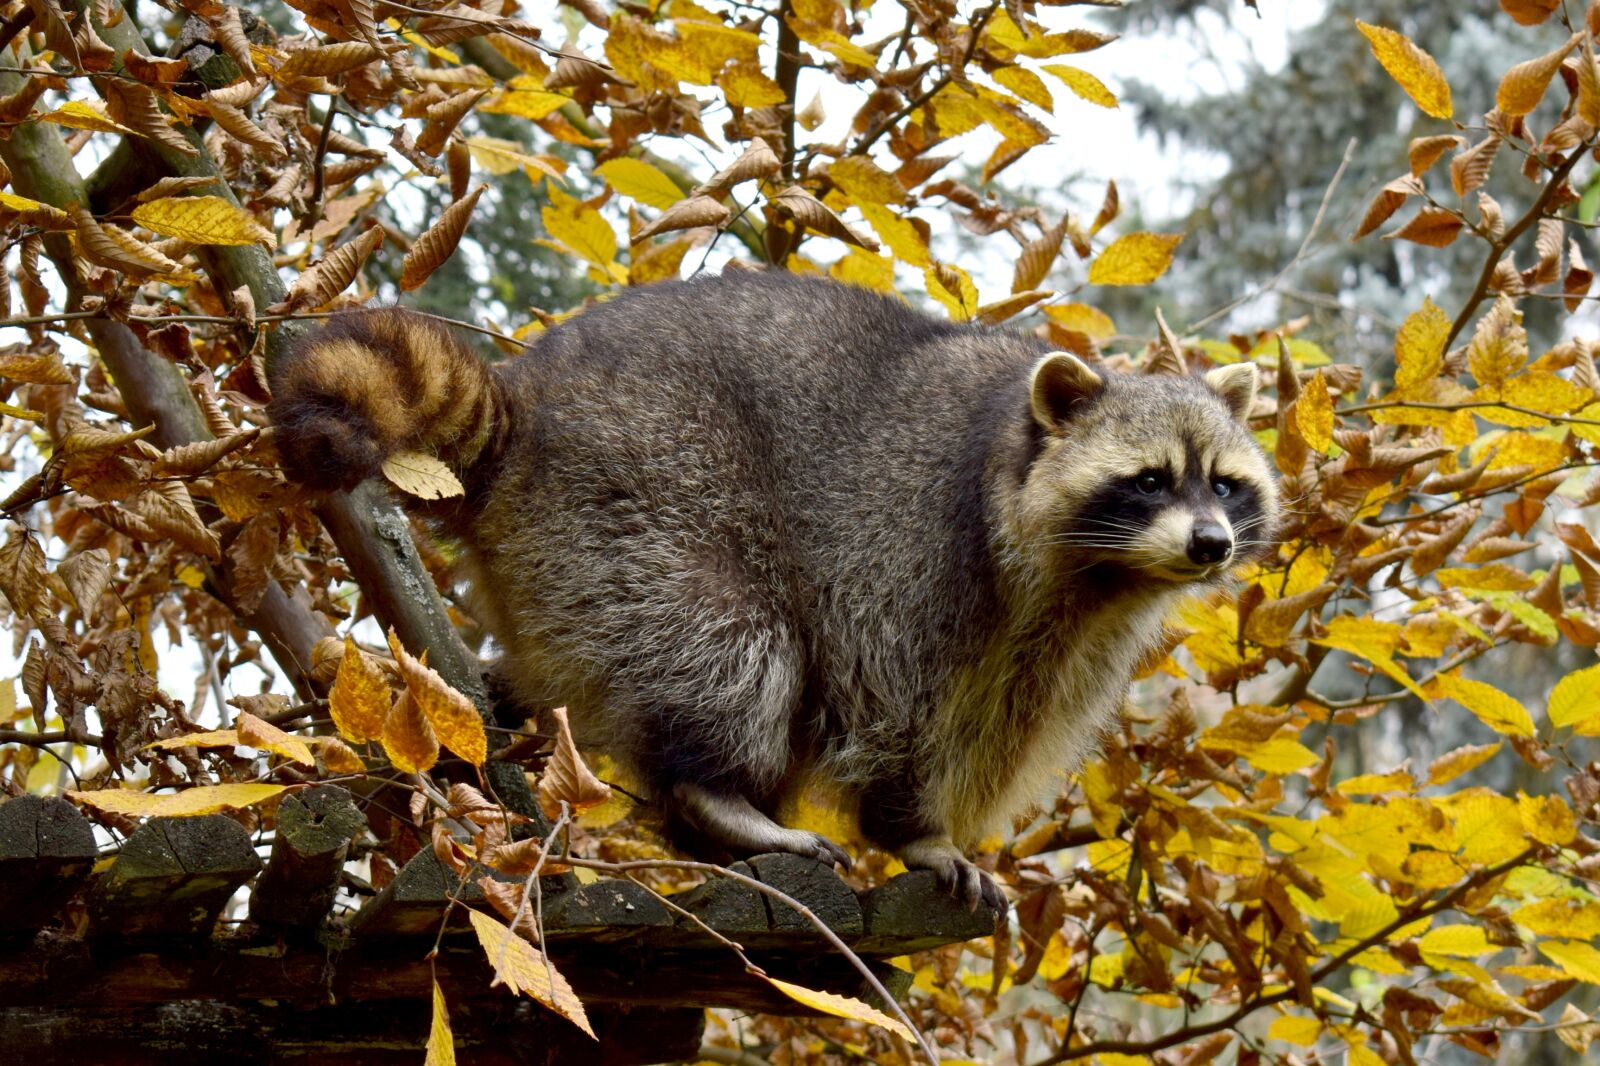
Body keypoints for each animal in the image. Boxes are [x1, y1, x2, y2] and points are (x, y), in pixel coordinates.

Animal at [269, 271, 1278, 909]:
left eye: (1226, 485)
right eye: (1150, 480)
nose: (1211, 545)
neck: (1098, 573)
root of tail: (526, 404)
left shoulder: (1075, 638)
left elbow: (1010, 714)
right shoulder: (913, 547)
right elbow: (901, 706)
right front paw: (914, 829)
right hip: (640, 491)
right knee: (724, 641)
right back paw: (720, 791)